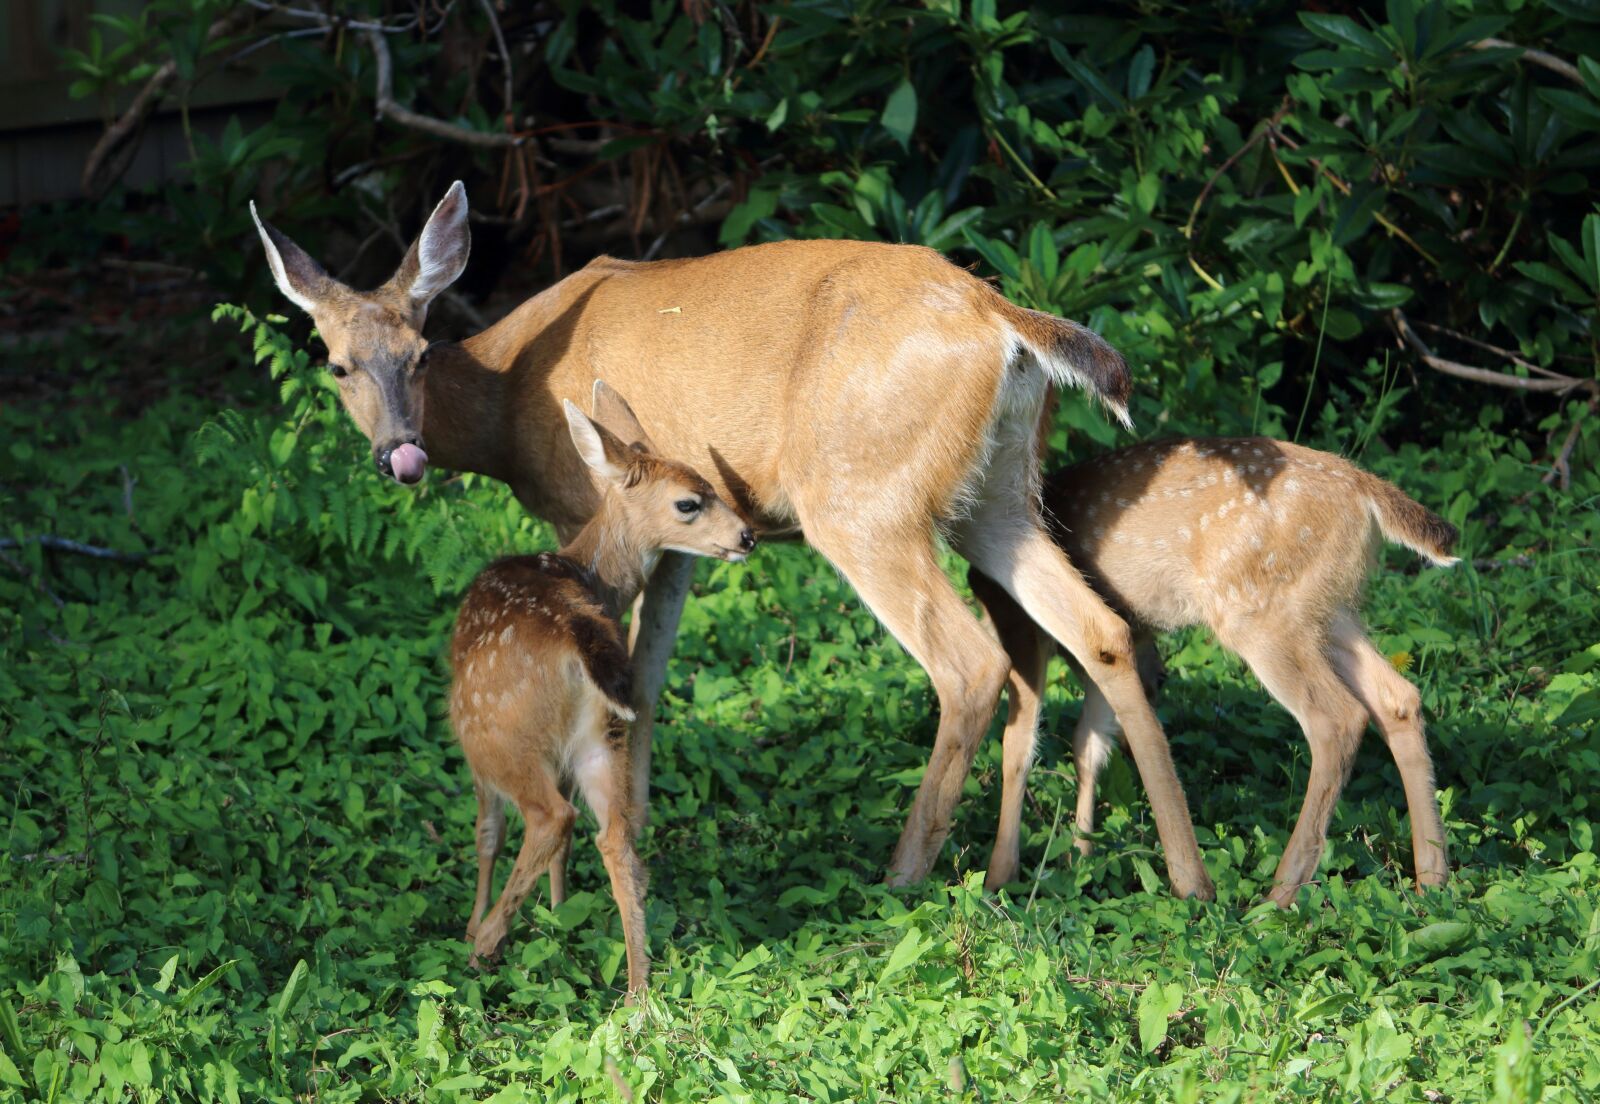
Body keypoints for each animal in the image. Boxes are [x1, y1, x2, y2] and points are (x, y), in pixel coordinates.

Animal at [249, 180, 1219, 900]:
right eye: (337, 364)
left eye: (417, 355)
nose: (402, 455)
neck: (504, 398)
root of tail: (1002, 319)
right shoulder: (681, 528)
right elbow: (646, 677)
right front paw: (638, 835)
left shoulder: (584, 506)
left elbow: (609, 677)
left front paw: (590, 867)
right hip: (998, 495)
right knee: (1103, 632)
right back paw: (1181, 877)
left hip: (862, 498)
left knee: (972, 662)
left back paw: (903, 873)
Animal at [452, 381, 756, 993]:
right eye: (691, 500)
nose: (748, 535)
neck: (586, 577)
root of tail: (577, 638)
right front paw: (558, 913)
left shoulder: (480, 757)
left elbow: (487, 832)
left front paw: (476, 922)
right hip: (603, 736)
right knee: (614, 840)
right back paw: (639, 991)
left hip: (498, 734)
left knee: (550, 819)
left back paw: (484, 946)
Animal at [968, 436, 1457, 905]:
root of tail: (1364, 490)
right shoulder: (1128, 643)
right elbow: (1090, 740)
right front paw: (1079, 856)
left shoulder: (1018, 622)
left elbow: (1019, 743)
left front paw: (1001, 877)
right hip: (1329, 612)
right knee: (1398, 698)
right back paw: (1432, 880)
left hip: (1258, 612)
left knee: (1338, 718)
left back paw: (1279, 895)